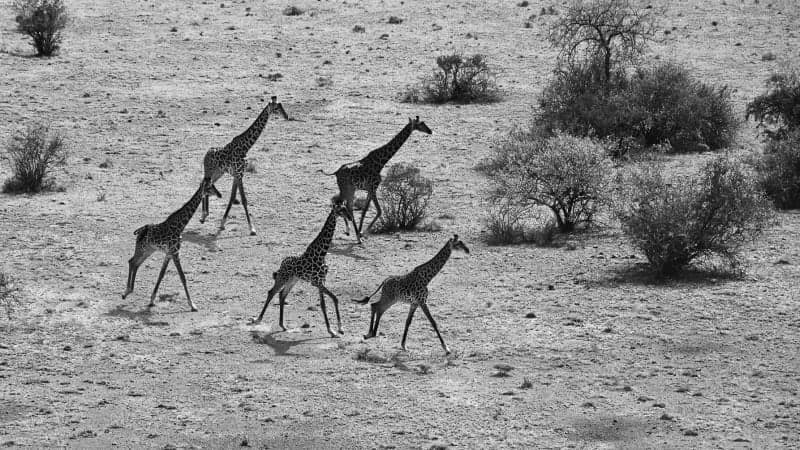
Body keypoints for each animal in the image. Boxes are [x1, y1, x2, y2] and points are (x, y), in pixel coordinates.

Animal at [122, 178, 216, 311]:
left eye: (213, 186)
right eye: (210, 187)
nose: (219, 194)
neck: (180, 226)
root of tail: (139, 231)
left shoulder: (169, 253)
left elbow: (161, 274)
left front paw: (152, 300)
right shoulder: (175, 252)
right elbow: (182, 276)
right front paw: (192, 305)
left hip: (148, 250)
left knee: (134, 263)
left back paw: (127, 292)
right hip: (142, 248)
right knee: (132, 262)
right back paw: (127, 291)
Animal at [199, 96, 289, 235]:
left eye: (281, 105)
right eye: (276, 108)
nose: (287, 116)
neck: (245, 147)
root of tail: (206, 153)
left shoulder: (238, 175)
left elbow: (233, 198)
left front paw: (222, 223)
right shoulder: (238, 174)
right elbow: (243, 199)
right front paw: (252, 228)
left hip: (218, 172)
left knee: (206, 185)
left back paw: (204, 215)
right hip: (209, 171)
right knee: (203, 185)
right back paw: (203, 215)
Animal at [250, 200, 354, 337]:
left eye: (346, 208)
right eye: (341, 210)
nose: (350, 218)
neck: (321, 253)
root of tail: (282, 264)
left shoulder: (321, 281)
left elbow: (326, 303)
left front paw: (336, 329)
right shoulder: (316, 282)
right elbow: (331, 300)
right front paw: (334, 329)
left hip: (293, 280)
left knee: (282, 295)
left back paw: (283, 325)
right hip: (283, 278)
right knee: (271, 292)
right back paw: (258, 319)